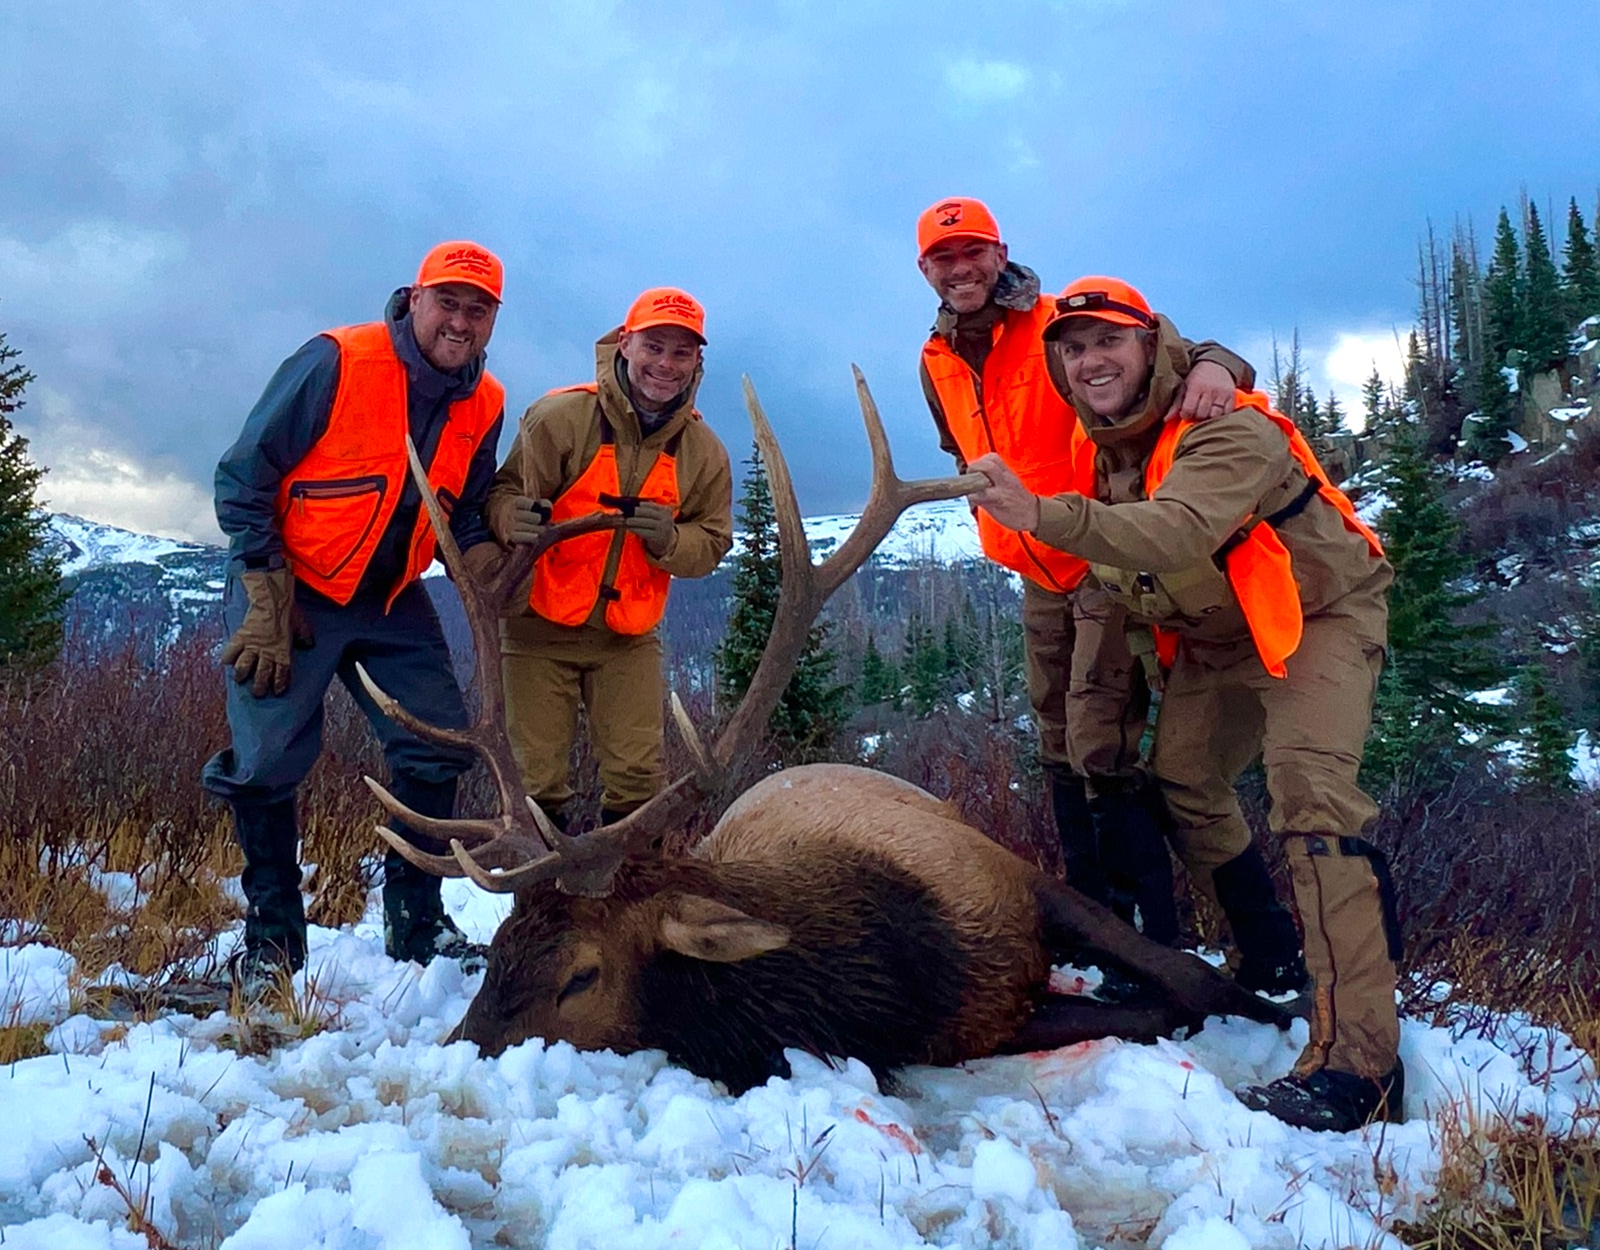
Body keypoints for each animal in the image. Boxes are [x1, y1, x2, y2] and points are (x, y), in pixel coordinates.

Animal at [356, 368, 1288, 1094]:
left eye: (580, 975)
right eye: (499, 949)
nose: (456, 1054)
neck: (886, 979)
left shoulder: (1012, 875)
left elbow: (1191, 982)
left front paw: (1279, 1012)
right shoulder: (961, 1031)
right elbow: (1153, 1006)